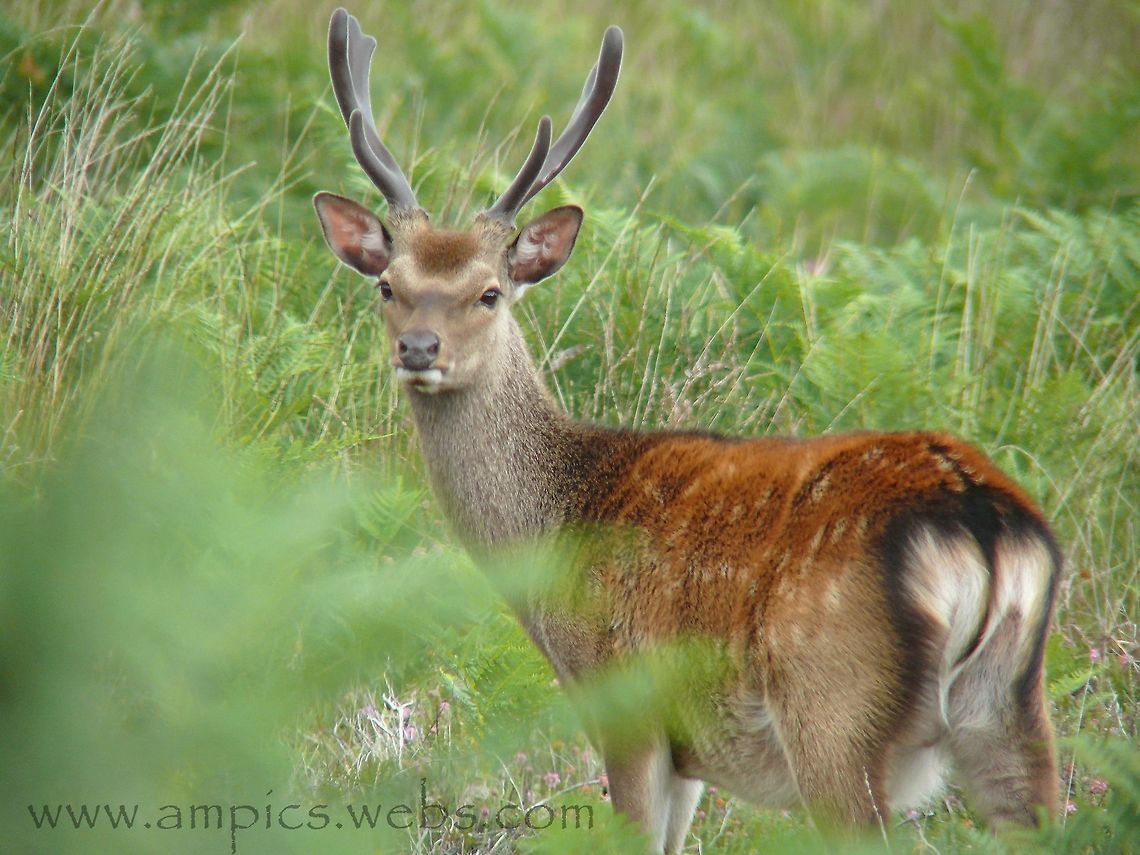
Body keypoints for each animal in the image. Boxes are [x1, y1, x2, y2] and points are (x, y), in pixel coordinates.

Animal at [312, 8, 1061, 853]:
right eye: (388, 284)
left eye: (489, 292)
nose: (418, 348)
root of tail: (985, 522)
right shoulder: (692, 753)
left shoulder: (627, 705)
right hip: (1011, 715)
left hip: (834, 713)